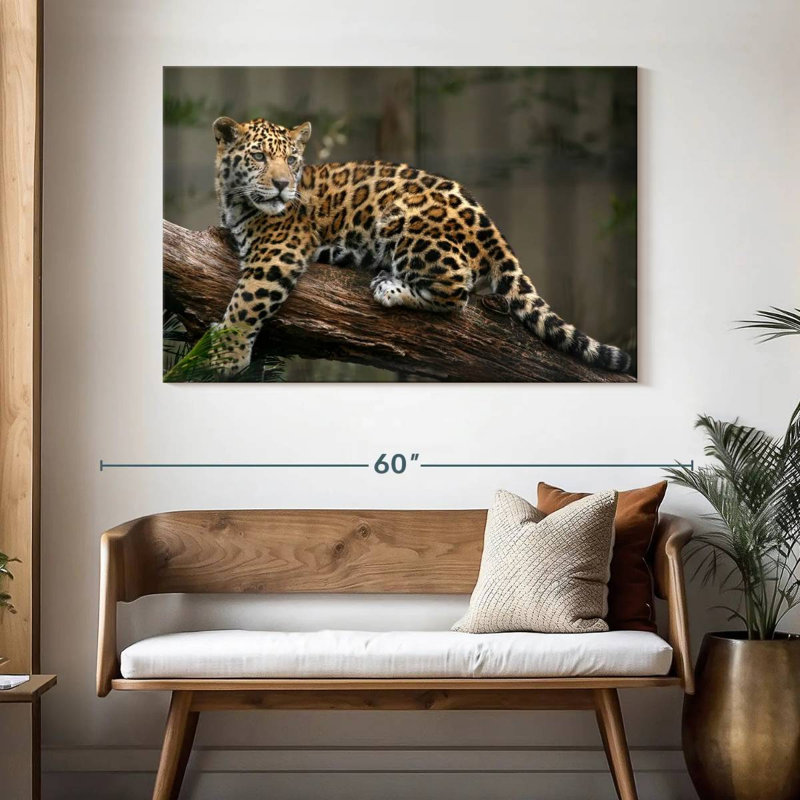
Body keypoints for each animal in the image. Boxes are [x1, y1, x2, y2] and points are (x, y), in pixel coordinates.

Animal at [205, 115, 632, 378]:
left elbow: (247, 301)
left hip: (404, 222)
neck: (235, 200)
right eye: (258, 156)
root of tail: (491, 226)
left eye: (292, 160)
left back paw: (390, 287)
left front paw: (225, 355)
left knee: (457, 291)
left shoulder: (279, 251)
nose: (282, 185)